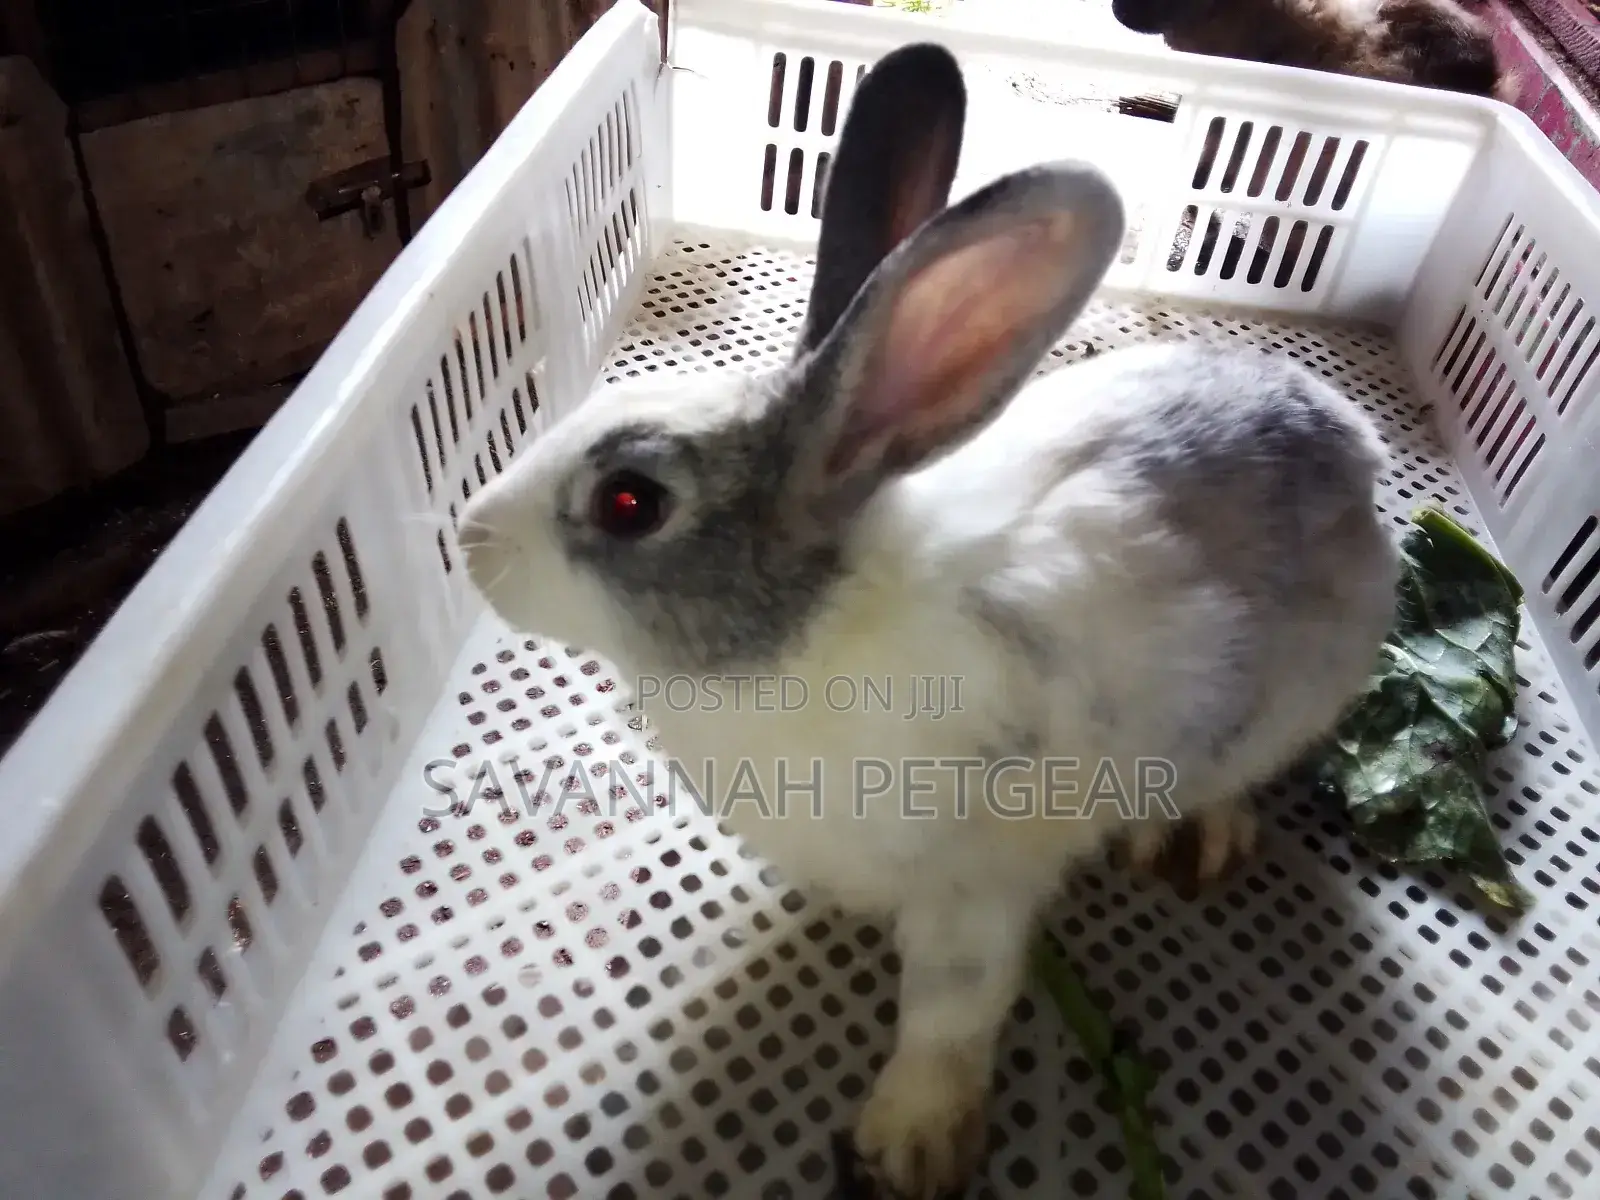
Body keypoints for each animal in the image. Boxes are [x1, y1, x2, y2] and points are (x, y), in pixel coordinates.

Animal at [456, 41, 1400, 1200]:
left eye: (630, 502)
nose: (468, 537)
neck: (808, 628)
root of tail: (1349, 443)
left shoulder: (974, 889)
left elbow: (949, 1014)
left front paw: (907, 1147)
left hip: (1291, 701)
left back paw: (1192, 837)